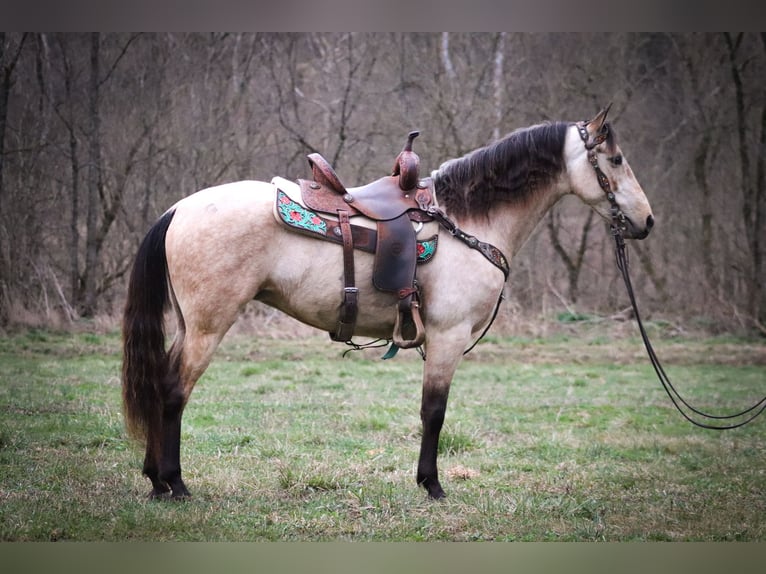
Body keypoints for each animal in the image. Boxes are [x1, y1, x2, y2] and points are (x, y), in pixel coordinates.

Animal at [120, 107, 656, 500]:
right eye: (615, 160)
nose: (646, 221)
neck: (467, 221)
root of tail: (178, 209)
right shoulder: (447, 337)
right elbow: (434, 412)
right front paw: (432, 486)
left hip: (189, 324)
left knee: (160, 386)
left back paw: (154, 479)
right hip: (209, 326)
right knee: (174, 392)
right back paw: (175, 483)